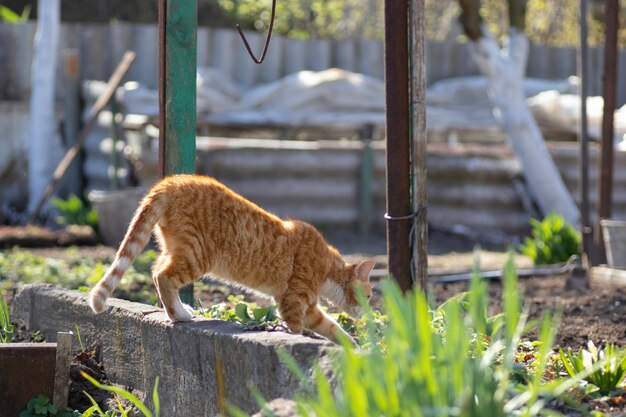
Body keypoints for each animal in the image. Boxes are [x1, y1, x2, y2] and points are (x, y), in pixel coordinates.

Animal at [89, 174, 372, 346]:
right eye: (368, 296)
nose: (367, 313)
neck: (326, 268)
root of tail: (172, 181)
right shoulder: (292, 303)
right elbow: (296, 329)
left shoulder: (310, 308)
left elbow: (333, 327)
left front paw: (355, 348)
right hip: (197, 255)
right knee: (162, 276)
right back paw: (179, 314)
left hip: (178, 249)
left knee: (157, 269)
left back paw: (178, 309)